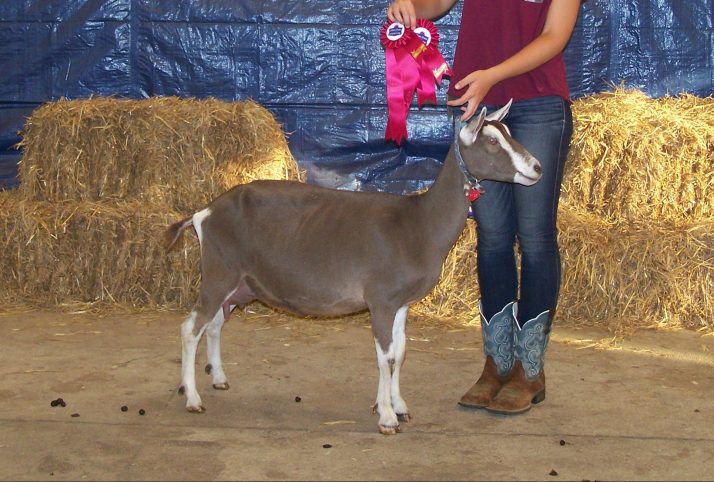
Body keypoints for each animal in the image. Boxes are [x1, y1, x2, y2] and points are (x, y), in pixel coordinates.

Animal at [165, 101, 542, 435]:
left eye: (508, 132)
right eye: (491, 140)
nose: (537, 167)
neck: (418, 224)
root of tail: (203, 213)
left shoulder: (401, 303)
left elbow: (400, 352)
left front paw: (398, 406)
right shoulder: (382, 300)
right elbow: (385, 357)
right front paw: (387, 417)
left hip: (237, 284)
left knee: (213, 325)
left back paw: (218, 378)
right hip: (218, 273)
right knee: (190, 329)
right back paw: (193, 398)